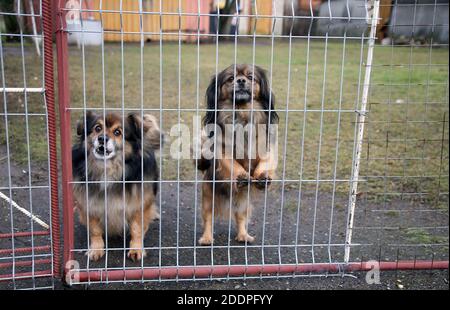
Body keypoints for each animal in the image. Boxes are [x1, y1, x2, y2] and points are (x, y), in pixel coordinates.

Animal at [73, 111, 164, 262]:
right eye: (97, 128)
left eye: (117, 132)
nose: (102, 138)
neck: (108, 169)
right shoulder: (89, 203)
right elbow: (95, 229)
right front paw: (96, 249)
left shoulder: (138, 203)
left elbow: (137, 228)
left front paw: (136, 249)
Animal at [197, 64, 278, 246]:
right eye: (231, 79)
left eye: (250, 77)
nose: (241, 81)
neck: (242, 113)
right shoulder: (222, 150)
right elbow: (233, 164)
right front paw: (241, 175)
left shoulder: (266, 146)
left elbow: (264, 163)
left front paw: (262, 177)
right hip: (208, 198)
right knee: (207, 218)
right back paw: (206, 238)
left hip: (243, 202)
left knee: (240, 217)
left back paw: (243, 236)